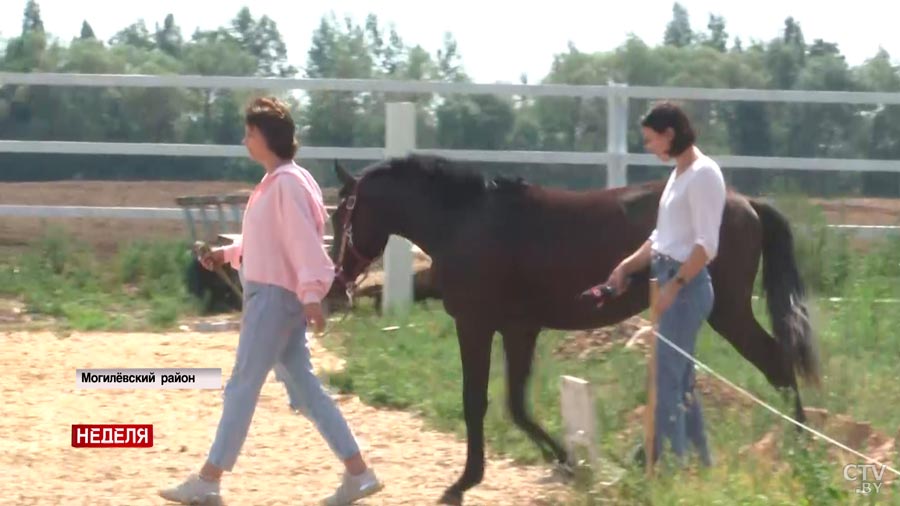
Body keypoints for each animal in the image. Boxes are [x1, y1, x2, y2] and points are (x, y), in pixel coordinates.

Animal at [328, 155, 816, 506]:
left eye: (340, 218)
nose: (335, 290)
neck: (466, 222)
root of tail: (746, 202)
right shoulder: (519, 328)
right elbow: (516, 404)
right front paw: (566, 461)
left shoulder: (477, 324)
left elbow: (477, 401)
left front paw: (465, 481)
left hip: (729, 313)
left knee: (776, 363)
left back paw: (800, 447)